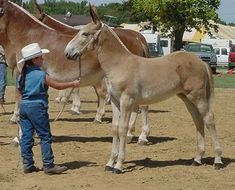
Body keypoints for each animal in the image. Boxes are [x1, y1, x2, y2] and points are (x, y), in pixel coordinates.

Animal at [64, 7, 222, 174]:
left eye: (85, 34)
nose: (67, 52)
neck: (120, 64)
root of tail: (201, 62)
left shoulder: (127, 100)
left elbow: (123, 128)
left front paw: (119, 165)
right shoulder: (115, 101)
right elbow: (114, 128)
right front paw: (110, 163)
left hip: (198, 97)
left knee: (209, 120)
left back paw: (218, 160)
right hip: (187, 98)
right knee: (198, 120)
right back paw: (197, 159)